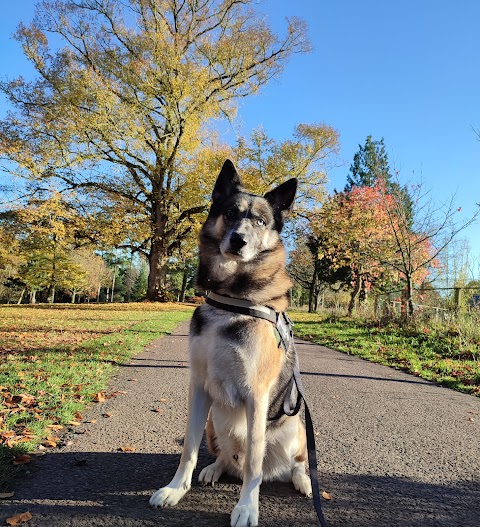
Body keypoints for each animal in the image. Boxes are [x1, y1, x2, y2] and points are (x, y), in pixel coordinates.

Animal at [152, 160, 314, 527]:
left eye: (260, 221)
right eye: (229, 213)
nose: (238, 240)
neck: (231, 301)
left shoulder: (256, 395)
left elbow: (254, 464)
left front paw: (246, 507)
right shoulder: (198, 388)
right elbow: (188, 449)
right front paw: (175, 489)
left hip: (294, 428)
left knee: (291, 462)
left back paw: (302, 480)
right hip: (215, 421)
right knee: (227, 459)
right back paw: (215, 468)